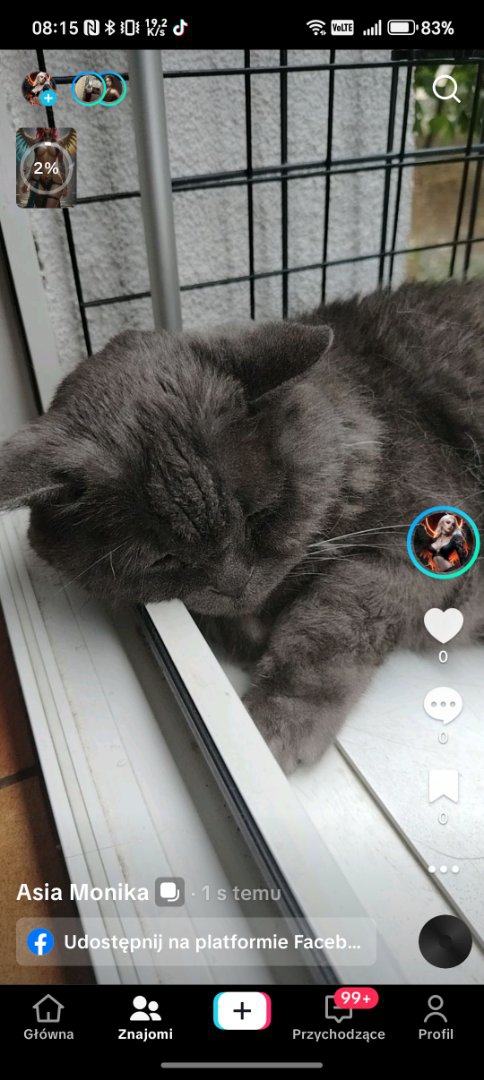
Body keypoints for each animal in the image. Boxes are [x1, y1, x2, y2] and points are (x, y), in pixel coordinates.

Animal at [1, 280, 484, 772]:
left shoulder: (413, 543)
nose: (235, 584)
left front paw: (275, 724)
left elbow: (327, 627)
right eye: (163, 558)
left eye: (260, 513)